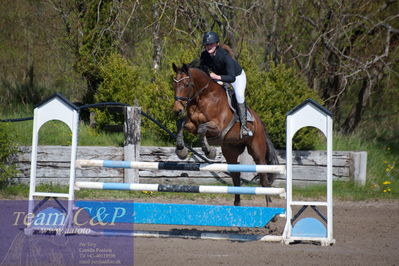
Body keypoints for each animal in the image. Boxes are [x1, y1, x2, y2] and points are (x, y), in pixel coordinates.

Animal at [172, 61, 282, 206]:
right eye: (174, 85)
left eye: (186, 85)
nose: (177, 110)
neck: (203, 97)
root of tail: (259, 122)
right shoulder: (191, 124)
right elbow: (181, 123)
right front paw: (181, 150)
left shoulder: (217, 127)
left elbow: (202, 128)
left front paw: (209, 151)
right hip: (230, 151)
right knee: (236, 178)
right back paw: (237, 204)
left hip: (257, 152)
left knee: (264, 179)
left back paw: (270, 209)